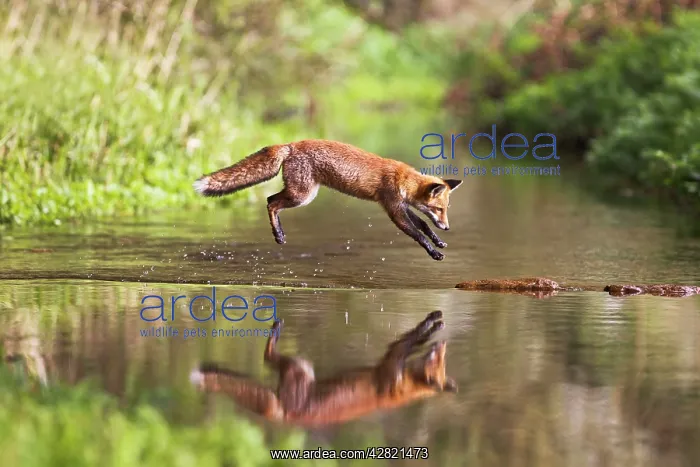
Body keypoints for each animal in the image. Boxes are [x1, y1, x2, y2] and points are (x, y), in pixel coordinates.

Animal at [189, 310, 457, 427]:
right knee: (266, 358)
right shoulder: (391, 362)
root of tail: (286, 416)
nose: (443, 345)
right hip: (300, 368)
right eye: (438, 361)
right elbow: (412, 339)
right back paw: (275, 330)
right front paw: (433, 323)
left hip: (300, 369)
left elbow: (415, 338)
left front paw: (436, 323)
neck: (405, 388)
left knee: (268, 361)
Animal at [193, 139, 463, 260]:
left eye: (446, 209)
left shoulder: (402, 207)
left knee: (270, 199)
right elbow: (417, 234)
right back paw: (278, 235)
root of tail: (291, 144)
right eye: (439, 208)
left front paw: (438, 241)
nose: (448, 227)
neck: (403, 181)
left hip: (303, 194)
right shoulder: (393, 209)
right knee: (270, 202)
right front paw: (433, 252)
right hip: (302, 196)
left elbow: (424, 225)